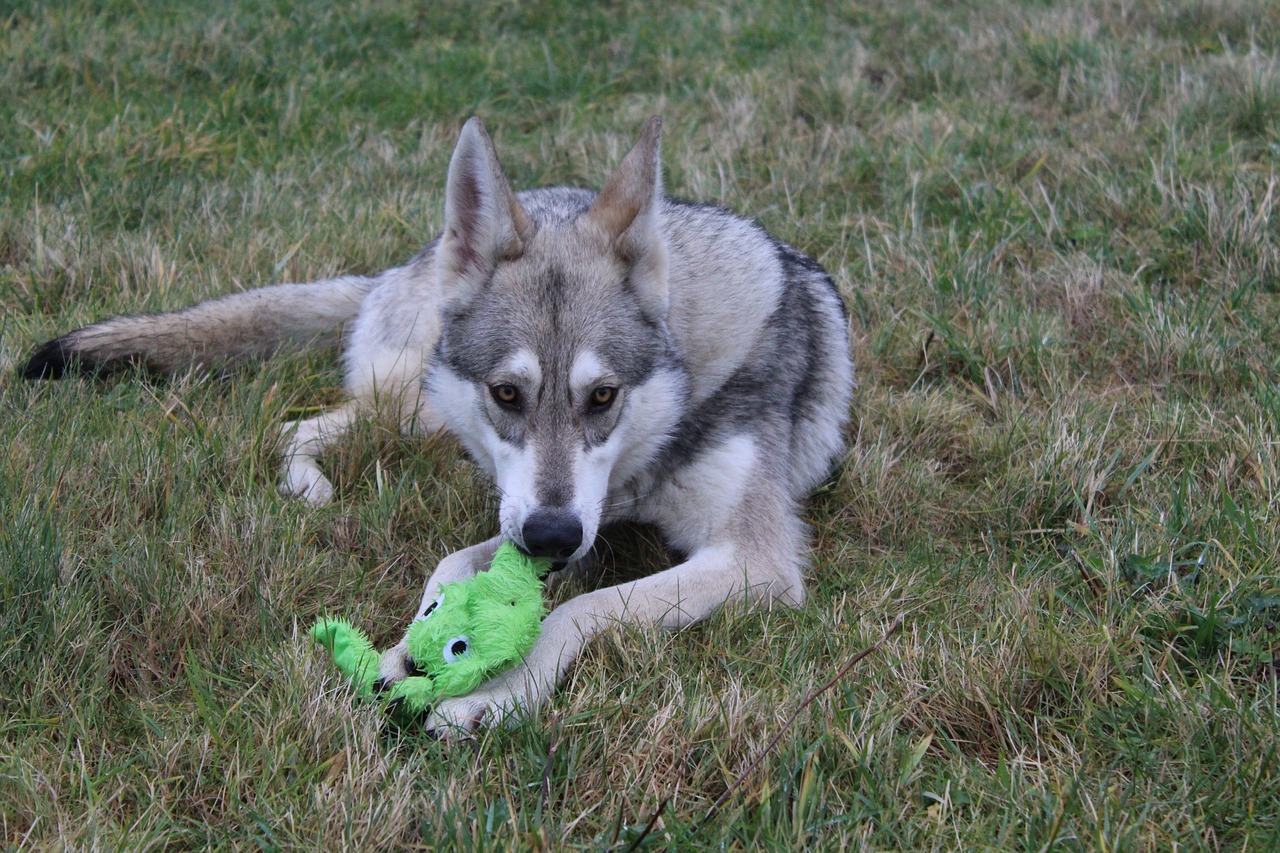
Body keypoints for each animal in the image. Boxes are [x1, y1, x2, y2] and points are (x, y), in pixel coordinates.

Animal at [20, 117, 855, 732]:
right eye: (508, 393)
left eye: (604, 396)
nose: (552, 537)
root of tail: (411, 259)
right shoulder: (543, 514)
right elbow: (454, 564)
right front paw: (409, 645)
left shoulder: (751, 561)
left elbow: (578, 604)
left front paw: (491, 689)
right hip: (419, 408)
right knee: (301, 428)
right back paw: (309, 487)